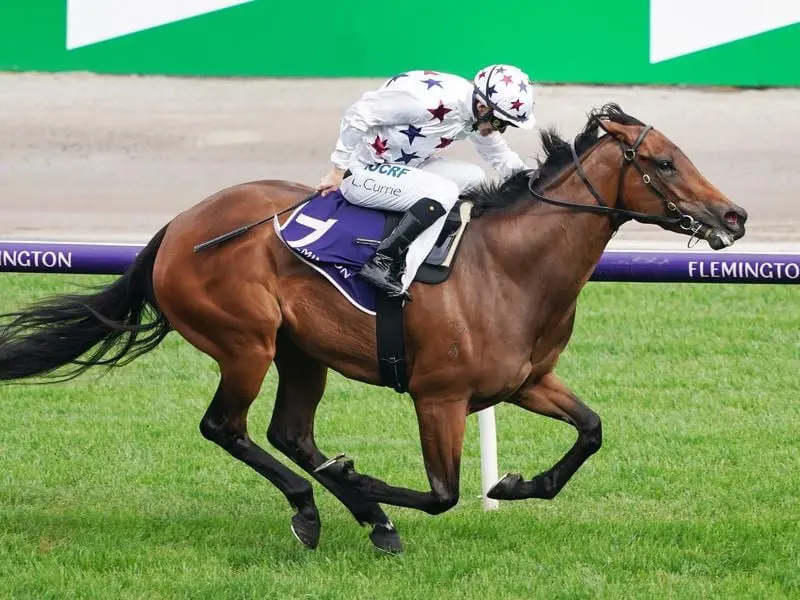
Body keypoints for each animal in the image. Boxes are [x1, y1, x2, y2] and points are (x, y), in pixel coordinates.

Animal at [0, 103, 752, 552]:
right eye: (663, 162)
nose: (736, 215)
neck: (509, 268)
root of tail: (180, 225)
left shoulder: (526, 381)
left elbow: (591, 431)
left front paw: (514, 486)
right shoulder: (438, 396)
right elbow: (444, 494)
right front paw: (365, 484)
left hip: (301, 351)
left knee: (289, 433)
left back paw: (359, 515)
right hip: (245, 342)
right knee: (227, 427)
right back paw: (317, 509)